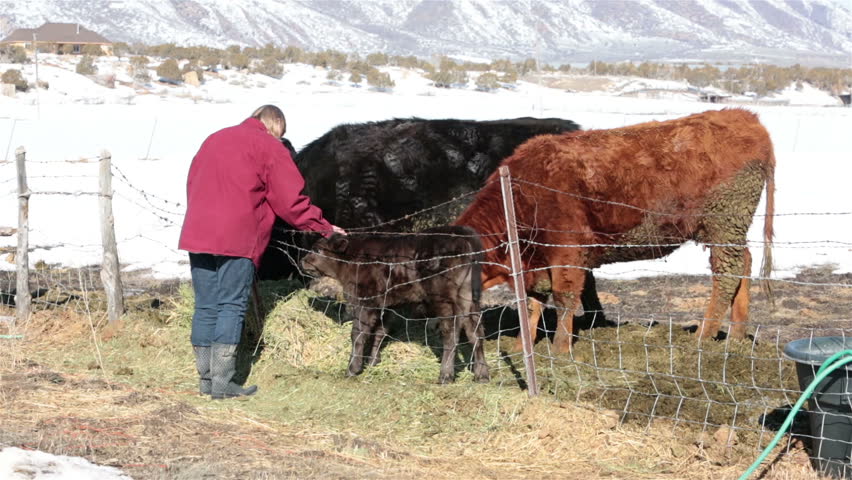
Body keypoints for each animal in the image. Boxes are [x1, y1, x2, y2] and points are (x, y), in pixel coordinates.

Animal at [300, 225, 490, 384]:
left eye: (317, 249)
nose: (302, 261)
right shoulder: (386, 305)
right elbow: (380, 331)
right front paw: (373, 362)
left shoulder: (365, 301)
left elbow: (358, 334)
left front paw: (352, 369)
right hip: (470, 299)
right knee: (475, 333)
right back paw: (481, 375)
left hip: (445, 300)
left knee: (451, 334)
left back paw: (445, 376)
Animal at [453, 108, 776, 353]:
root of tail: (744, 117)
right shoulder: (536, 262)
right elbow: (533, 303)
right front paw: (523, 346)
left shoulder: (568, 251)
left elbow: (564, 298)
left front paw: (561, 349)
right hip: (728, 230)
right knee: (743, 263)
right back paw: (736, 338)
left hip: (723, 222)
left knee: (727, 273)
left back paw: (703, 336)